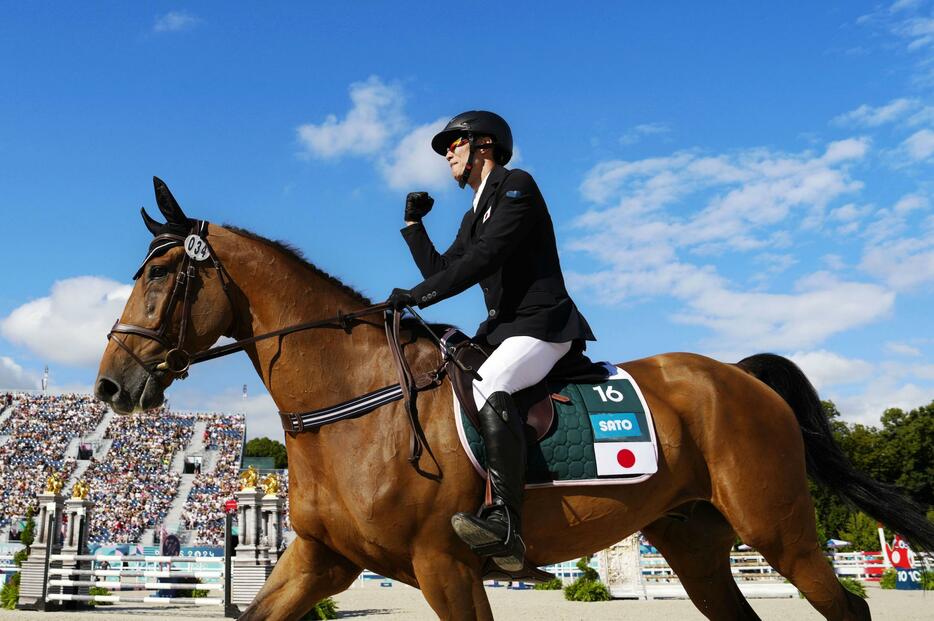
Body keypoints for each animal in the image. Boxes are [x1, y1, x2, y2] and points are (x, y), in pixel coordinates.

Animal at [91, 177, 932, 616]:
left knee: (847, 605)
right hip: (694, 539)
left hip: (780, 530)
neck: (351, 404)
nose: (110, 383)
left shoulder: (446, 565)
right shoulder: (319, 560)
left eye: (161, 275)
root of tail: (740, 374)